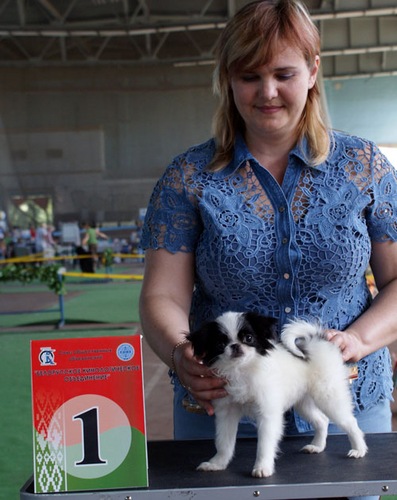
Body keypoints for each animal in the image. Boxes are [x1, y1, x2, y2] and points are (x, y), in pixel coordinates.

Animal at [187, 310, 366, 478]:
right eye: (220, 344)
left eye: (248, 338)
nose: (235, 346)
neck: (241, 370)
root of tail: (318, 339)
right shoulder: (227, 413)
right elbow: (223, 443)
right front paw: (217, 463)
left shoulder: (267, 414)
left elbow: (264, 445)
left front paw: (262, 467)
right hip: (304, 404)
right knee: (322, 420)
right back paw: (317, 446)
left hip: (329, 397)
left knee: (350, 422)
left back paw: (359, 449)